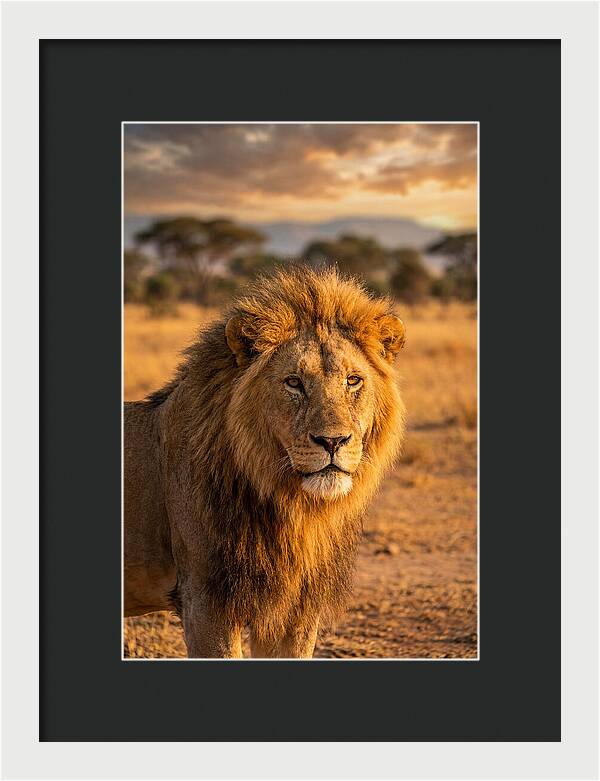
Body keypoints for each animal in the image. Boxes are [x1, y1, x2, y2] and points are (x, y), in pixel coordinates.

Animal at [124, 266, 406, 658]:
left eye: (353, 381)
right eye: (294, 383)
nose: (332, 441)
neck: (293, 508)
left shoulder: (296, 609)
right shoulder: (205, 601)